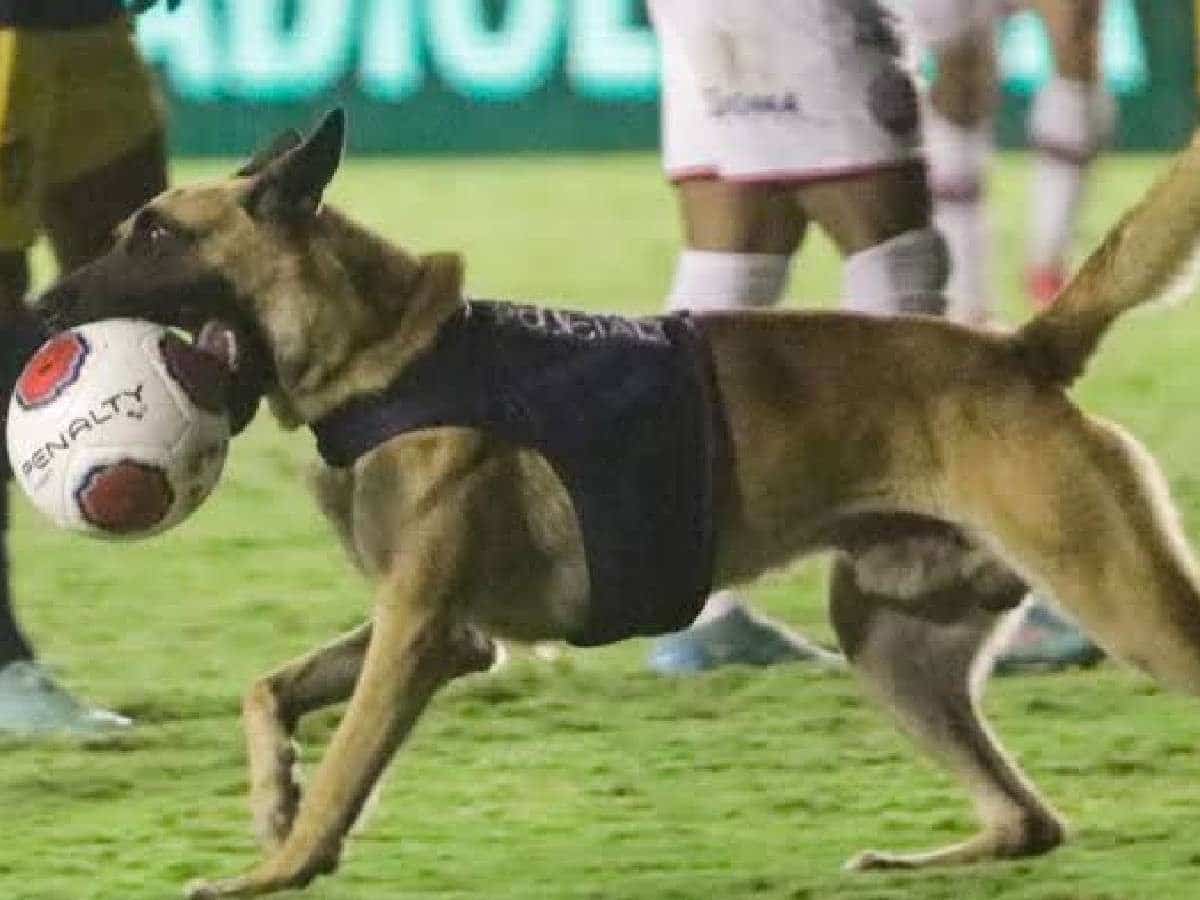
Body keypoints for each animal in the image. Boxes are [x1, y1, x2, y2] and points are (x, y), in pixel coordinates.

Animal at [37, 109, 1200, 897]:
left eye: (153, 236)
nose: (42, 306)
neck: (388, 355)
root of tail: (1018, 353)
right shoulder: (447, 630)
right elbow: (267, 692)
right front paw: (269, 797)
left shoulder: (418, 634)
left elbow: (344, 775)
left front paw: (275, 867)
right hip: (890, 644)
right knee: (1029, 822)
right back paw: (913, 862)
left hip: (1123, 604)